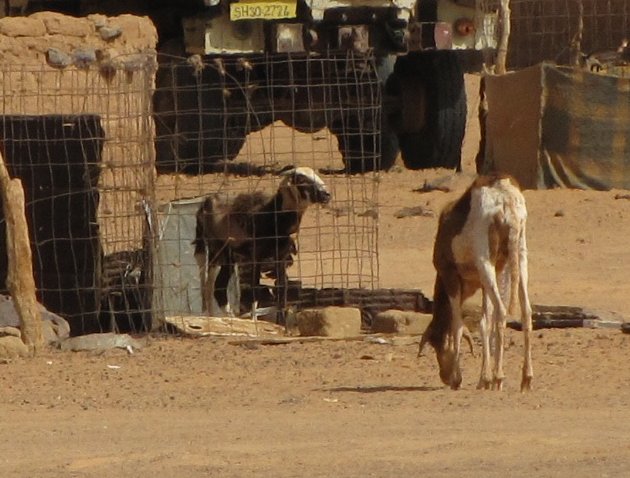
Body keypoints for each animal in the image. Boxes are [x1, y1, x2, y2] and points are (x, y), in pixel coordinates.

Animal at [194, 166, 330, 320]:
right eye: (301, 179)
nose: (326, 195)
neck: (273, 214)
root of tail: (206, 203)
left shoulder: (281, 257)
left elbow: (282, 289)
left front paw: (281, 320)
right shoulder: (256, 256)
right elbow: (255, 289)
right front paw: (254, 320)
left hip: (229, 256)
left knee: (215, 287)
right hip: (215, 250)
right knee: (211, 285)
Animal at [422, 176, 536, 392]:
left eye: (437, 344)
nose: (444, 377)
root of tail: (506, 198)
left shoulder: (450, 276)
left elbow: (458, 325)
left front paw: (459, 379)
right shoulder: (485, 282)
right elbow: (485, 322)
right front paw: (484, 380)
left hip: (486, 262)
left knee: (501, 311)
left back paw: (499, 377)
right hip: (520, 256)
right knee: (526, 311)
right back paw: (526, 379)